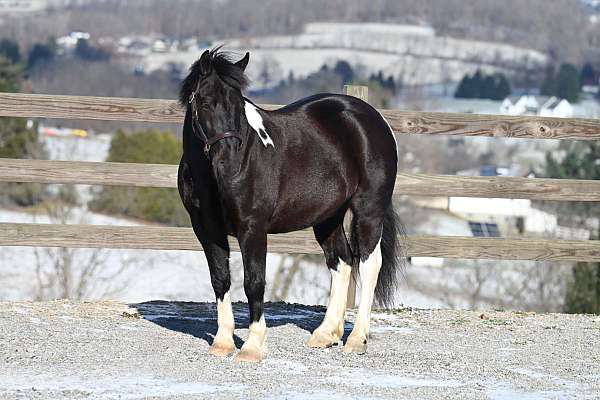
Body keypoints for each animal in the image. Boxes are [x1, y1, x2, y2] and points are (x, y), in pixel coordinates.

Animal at [178, 49, 404, 362]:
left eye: (239, 104)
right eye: (204, 102)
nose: (230, 163)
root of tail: (371, 117)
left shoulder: (253, 228)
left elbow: (254, 283)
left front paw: (252, 347)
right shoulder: (206, 229)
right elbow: (221, 279)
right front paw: (222, 343)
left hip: (368, 211)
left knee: (370, 265)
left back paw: (357, 339)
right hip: (327, 218)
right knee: (342, 261)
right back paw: (325, 334)